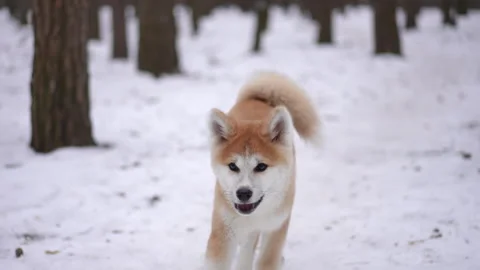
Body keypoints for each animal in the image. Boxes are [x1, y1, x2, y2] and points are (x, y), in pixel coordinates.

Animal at [204, 71, 320, 270]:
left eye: (261, 166)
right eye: (233, 166)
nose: (243, 193)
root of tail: (258, 99)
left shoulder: (276, 229)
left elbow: (266, 261)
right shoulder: (223, 231)